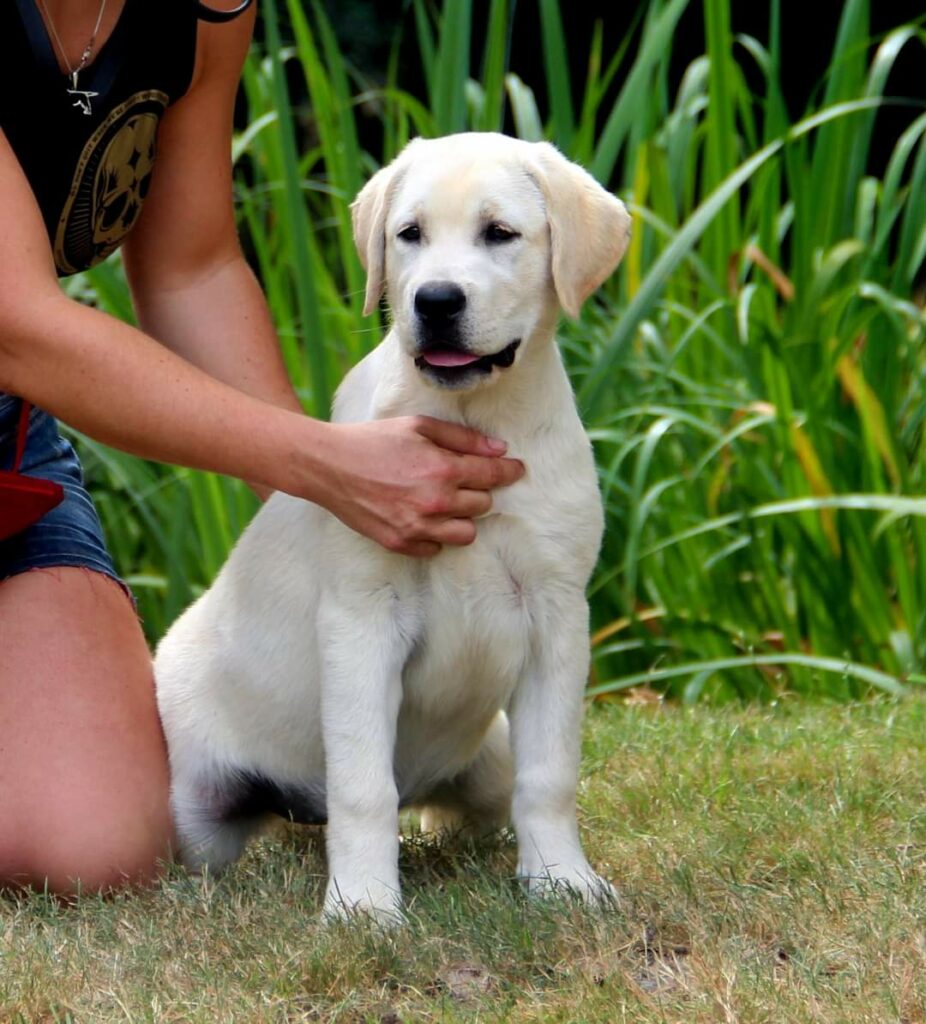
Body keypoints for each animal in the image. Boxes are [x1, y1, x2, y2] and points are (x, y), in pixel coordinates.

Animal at [155, 132, 630, 925]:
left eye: (500, 233)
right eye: (410, 234)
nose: (435, 301)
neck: (472, 416)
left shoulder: (558, 614)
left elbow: (551, 774)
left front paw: (562, 881)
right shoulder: (362, 617)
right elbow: (362, 785)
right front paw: (364, 909)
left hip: (488, 756)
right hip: (189, 806)